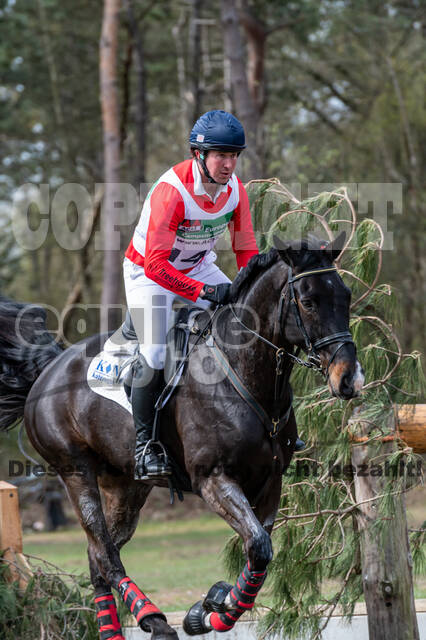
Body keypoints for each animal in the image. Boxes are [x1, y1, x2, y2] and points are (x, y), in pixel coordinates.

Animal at [0, 236, 362, 640]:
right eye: (309, 301)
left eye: (345, 295)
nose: (349, 378)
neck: (243, 373)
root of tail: (50, 367)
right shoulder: (214, 480)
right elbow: (258, 547)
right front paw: (212, 611)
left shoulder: (270, 483)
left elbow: (259, 554)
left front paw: (208, 607)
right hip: (76, 472)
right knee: (106, 555)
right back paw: (153, 619)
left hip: (125, 486)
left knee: (98, 556)